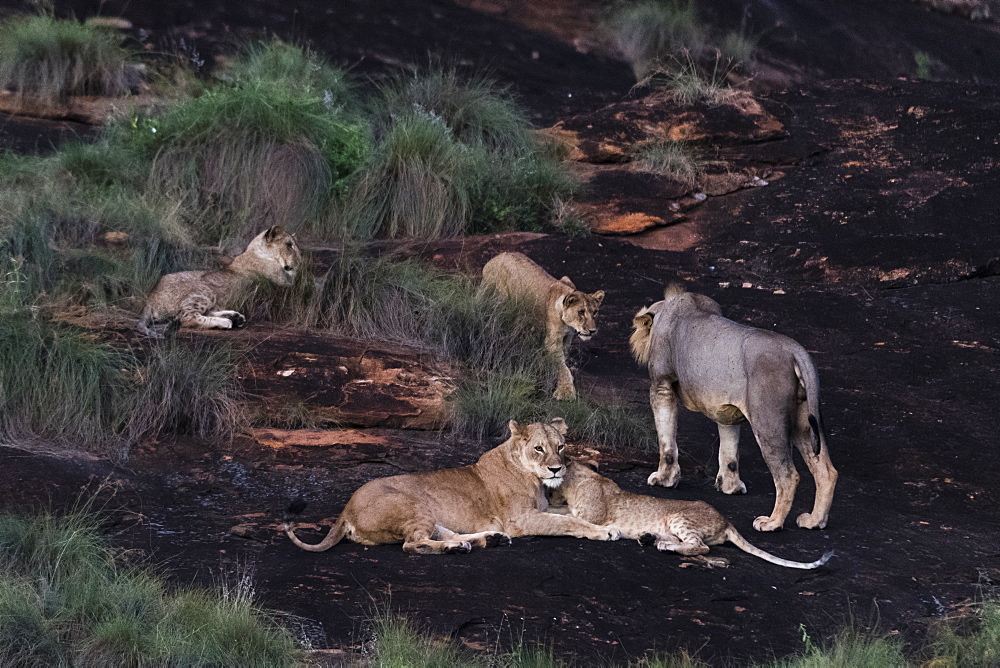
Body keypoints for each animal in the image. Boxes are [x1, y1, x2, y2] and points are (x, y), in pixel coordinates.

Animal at [139, 226, 298, 340]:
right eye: (289, 245)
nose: (299, 261)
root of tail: (151, 296)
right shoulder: (281, 285)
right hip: (204, 289)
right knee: (186, 317)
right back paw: (226, 322)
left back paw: (235, 317)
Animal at [286, 418, 620, 552]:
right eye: (539, 448)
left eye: (561, 446)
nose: (556, 468)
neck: (534, 479)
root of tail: (346, 509)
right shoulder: (521, 520)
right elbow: (568, 523)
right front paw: (603, 532)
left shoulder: (541, 508)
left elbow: (569, 515)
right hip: (413, 505)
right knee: (413, 544)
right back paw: (457, 548)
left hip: (428, 514)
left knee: (442, 533)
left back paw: (485, 540)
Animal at [480, 249, 604, 396]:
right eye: (581, 312)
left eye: (595, 312)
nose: (592, 331)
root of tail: (494, 259)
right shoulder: (552, 341)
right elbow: (562, 366)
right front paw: (565, 392)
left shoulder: (567, 338)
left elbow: (563, 359)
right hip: (497, 299)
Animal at [552, 464, 832, 568]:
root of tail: (727, 520)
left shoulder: (594, 516)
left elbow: (573, 517)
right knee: (689, 543)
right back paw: (649, 539)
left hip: (679, 517)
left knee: (700, 547)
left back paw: (663, 546)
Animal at [632, 286, 836, 532]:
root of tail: (796, 351)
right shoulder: (725, 407)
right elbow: (729, 450)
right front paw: (731, 487)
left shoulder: (661, 385)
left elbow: (667, 441)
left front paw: (664, 479)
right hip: (804, 422)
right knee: (826, 471)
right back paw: (815, 520)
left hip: (768, 421)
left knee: (788, 476)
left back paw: (772, 522)